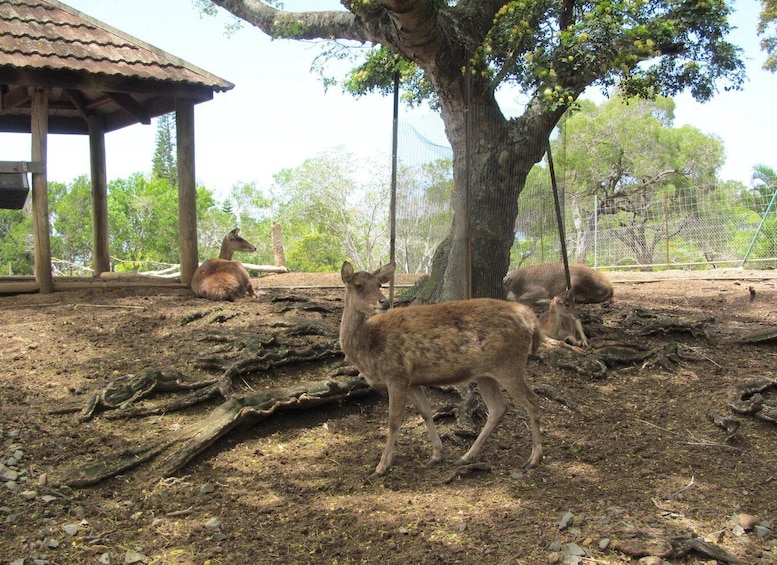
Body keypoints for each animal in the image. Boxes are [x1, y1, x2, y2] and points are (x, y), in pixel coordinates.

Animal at [336, 262, 544, 478]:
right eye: (358, 285)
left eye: (379, 284)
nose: (383, 302)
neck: (370, 348)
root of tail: (530, 318)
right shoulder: (412, 381)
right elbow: (426, 411)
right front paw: (436, 454)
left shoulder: (396, 375)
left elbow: (393, 421)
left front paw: (381, 467)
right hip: (486, 374)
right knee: (498, 408)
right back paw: (465, 457)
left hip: (509, 365)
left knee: (532, 400)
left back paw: (534, 458)